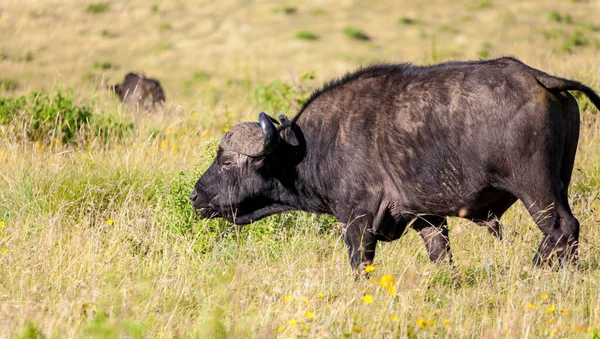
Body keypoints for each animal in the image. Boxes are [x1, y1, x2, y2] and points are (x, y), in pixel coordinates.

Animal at [189, 57, 600, 274]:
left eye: (227, 161)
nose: (195, 196)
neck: (309, 147)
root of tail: (537, 76)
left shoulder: (356, 221)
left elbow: (360, 266)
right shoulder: (426, 218)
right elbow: (442, 256)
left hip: (537, 190)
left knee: (562, 228)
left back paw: (538, 269)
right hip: (559, 183)